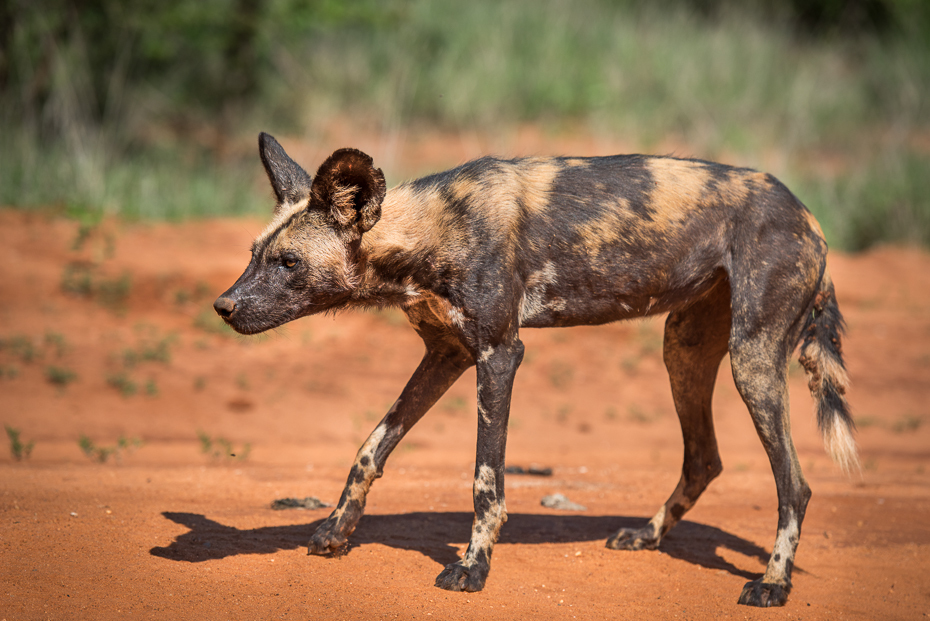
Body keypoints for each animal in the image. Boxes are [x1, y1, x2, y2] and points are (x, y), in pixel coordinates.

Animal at [216, 134, 856, 604]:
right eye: (253, 255)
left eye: (288, 262)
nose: (223, 306)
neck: (431, 231)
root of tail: (808, 215)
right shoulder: (446, 355)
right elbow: (372, 447)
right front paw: (335, 532)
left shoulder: (499, 355)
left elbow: (486, 480)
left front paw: (472, 568)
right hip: (684, 352)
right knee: (704, 458)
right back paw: (647, 536)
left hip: (753, 363)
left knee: (794, 485)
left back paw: (773, 582)